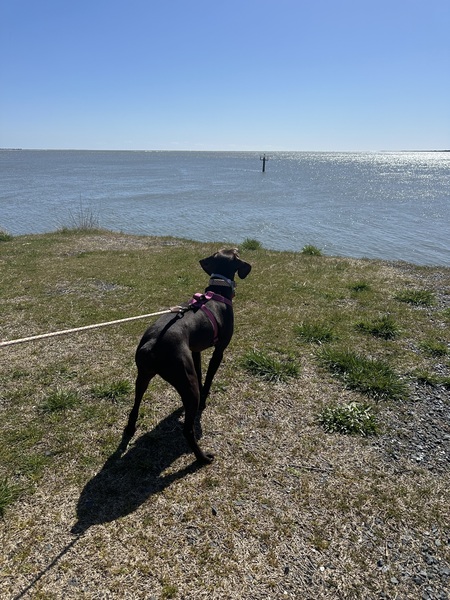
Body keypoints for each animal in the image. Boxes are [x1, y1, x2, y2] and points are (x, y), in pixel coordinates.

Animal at [121, 248, 251, 464]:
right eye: (237, 252)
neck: (217, 294)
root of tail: (152, 344)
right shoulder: (219, 351)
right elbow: (208, 379)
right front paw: (204, 401)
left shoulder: (195, 351)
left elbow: (199, 373)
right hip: (185, 381)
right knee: (188, 430)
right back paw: (203, 458)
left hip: (143, 376)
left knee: (136, 404)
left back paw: (130, 428)